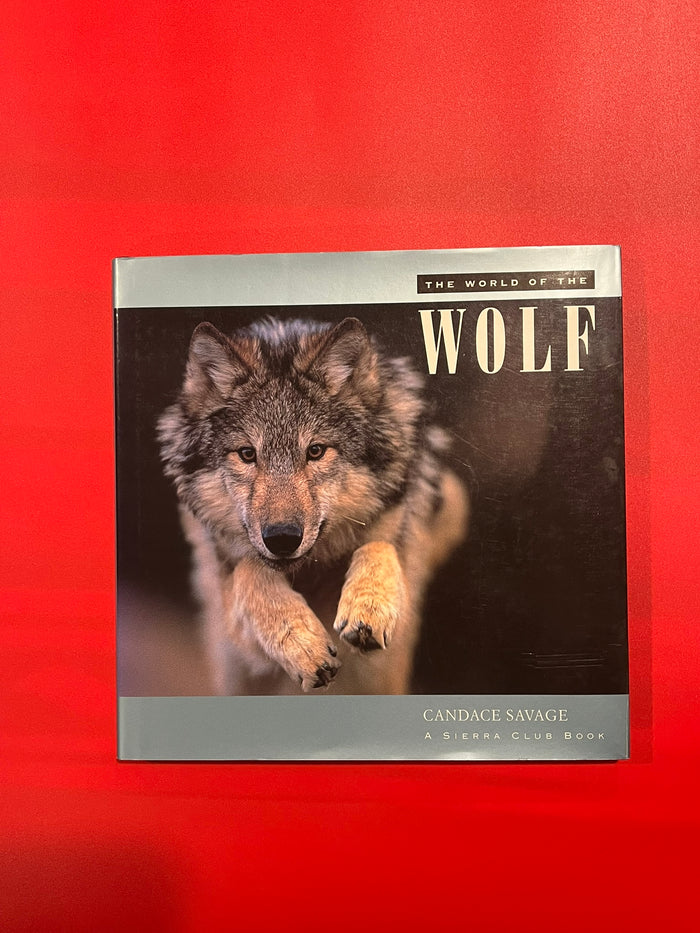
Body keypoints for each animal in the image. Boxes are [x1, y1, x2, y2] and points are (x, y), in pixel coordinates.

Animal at [158, 316, 468, 695]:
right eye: (247, 454)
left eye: (316, 451)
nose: (282, 538)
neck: (309, 571)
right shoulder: (237, 638)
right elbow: (250, 570)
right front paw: (303, 645)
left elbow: (379, 544)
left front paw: (369, 607)